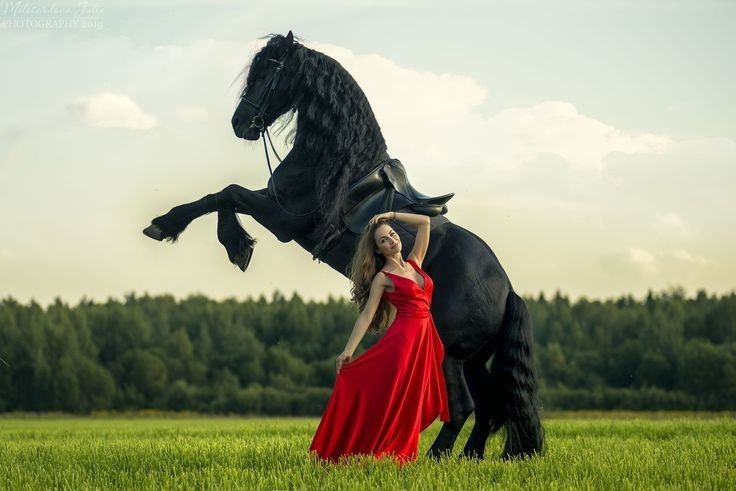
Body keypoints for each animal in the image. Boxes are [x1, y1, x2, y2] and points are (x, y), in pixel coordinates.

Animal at [145, 30, 548, 462]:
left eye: (271, 69)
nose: (239, 123)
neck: (336, 161)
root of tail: (507, 289)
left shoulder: (284, 219)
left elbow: (226, 193)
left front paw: (220, 241)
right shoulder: (273, 201)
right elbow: (219, 195)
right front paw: (189, 231)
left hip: (452, 356)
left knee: (463, 408)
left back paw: (431, 459)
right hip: (475, 358)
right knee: (490, 407)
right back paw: (469, 458)